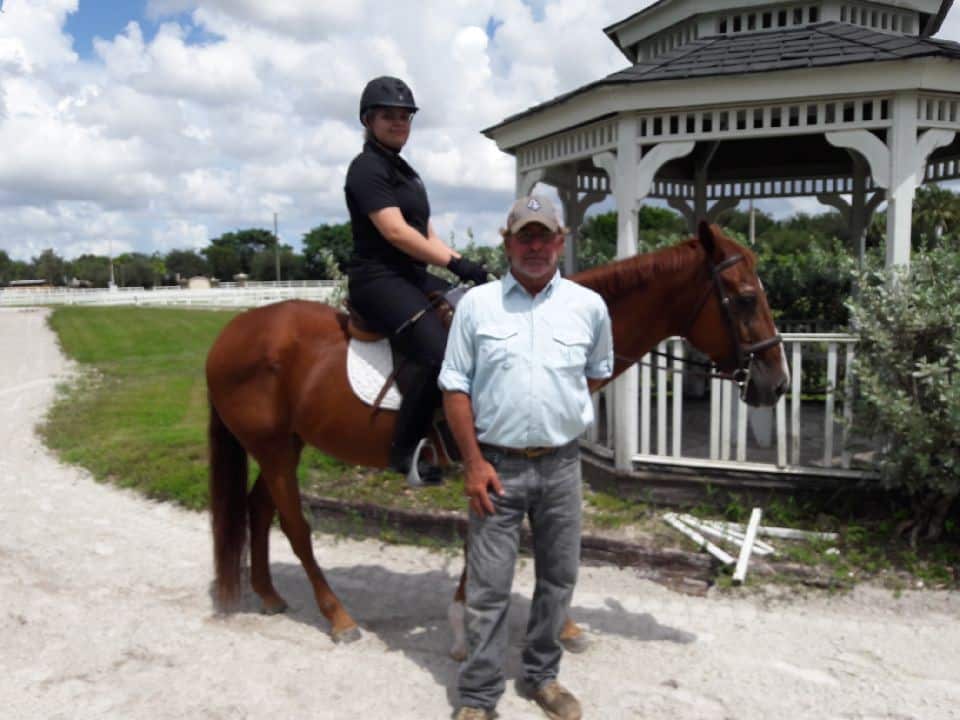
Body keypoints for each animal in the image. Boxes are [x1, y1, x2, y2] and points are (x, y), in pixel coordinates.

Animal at [204, 222, 788, 644]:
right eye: (742, 298)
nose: (776, 383)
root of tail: (233, 332)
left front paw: (548, 622)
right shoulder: (490, 459)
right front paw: (472, 617)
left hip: (283, 444)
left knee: (259, 508)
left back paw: (269, 594)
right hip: (275, 448)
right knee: (295, 525)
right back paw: (338, 617)